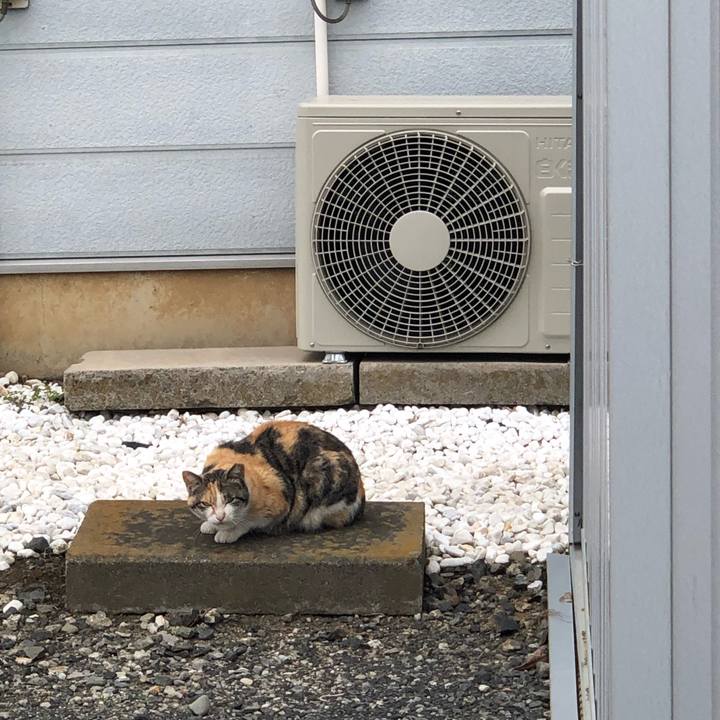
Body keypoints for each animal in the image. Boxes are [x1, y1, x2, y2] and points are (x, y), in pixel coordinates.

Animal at [182, 420, 365, 544]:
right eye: (205, 504)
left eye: (230, 499)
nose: (220, 517)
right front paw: (210, 524)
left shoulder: (282, 502)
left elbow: (248, 522)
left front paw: (228, 532)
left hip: (320, 478)